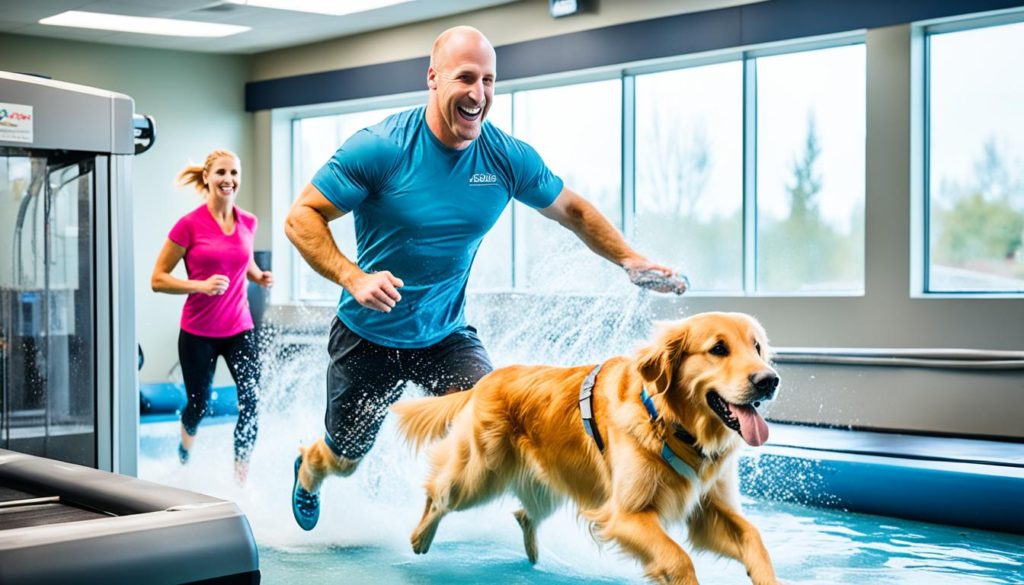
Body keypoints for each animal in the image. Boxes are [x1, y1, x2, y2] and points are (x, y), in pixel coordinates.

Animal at [391, 313, 782, 581]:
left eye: (757, 347)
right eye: (718, 349)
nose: (769, 380)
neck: (670, 423)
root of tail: (488, 379)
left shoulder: (709, 508)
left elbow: (754, 538)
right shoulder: (625, 515)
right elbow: (677, 558)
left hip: (547, 483)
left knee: (523, 514)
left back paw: (534, 558)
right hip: (478, 476)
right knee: (438, 496)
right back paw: (418, 538)